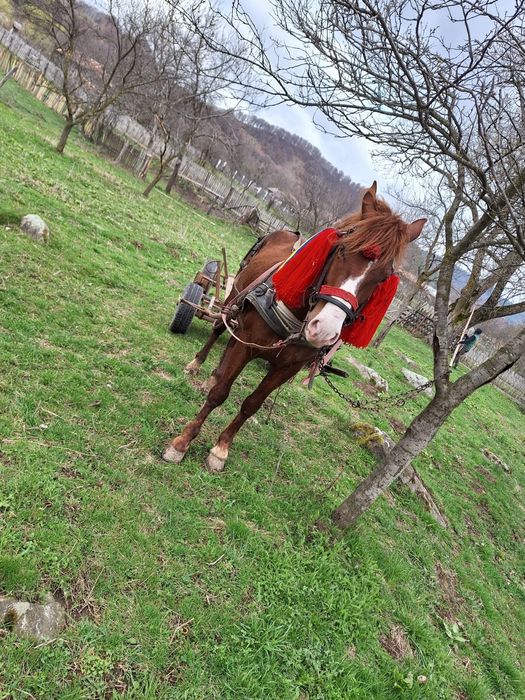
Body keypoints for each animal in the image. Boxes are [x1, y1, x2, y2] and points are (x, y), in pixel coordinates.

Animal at [162, 182, 426, 472]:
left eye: (383, 277)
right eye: (342, 250)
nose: (324, 330)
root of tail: (288, 231)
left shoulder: (288, 368)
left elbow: (252, 404)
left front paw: (221, 449)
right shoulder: (247, 343)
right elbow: (220, 394)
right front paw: (182, 442)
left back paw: (215, 373)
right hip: (235, 293)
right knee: (220, 327)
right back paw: (197, 364)